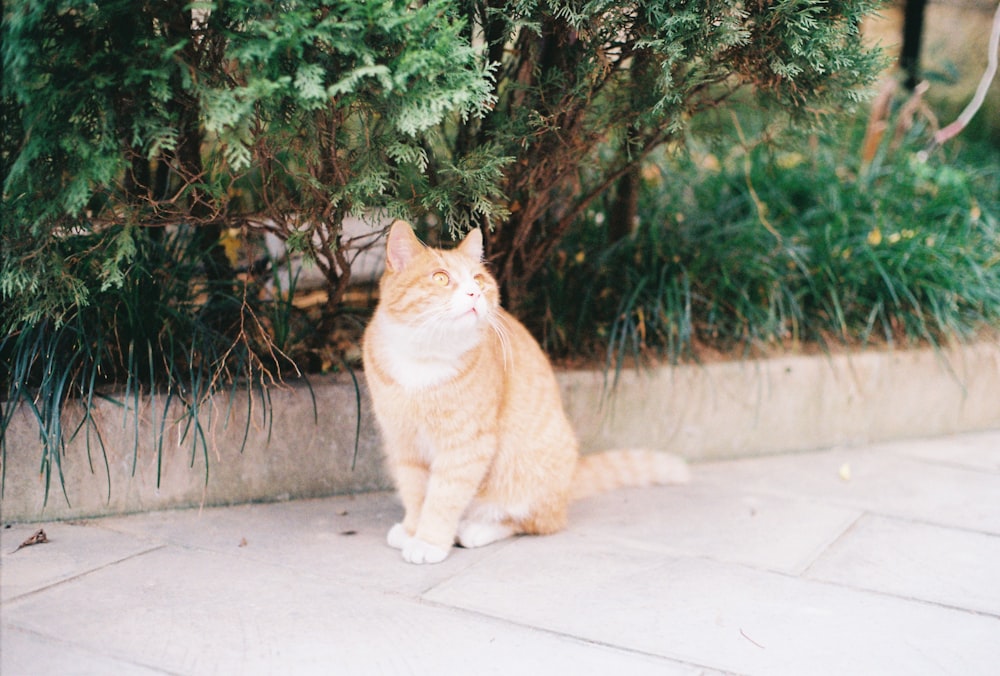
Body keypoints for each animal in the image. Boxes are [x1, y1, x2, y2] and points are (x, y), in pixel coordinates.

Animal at [366, 222, 688, 564]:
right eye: (440, 278)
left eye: (478, 279)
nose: (474, 293)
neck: (423, 356)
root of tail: (569, 480)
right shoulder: (404, 443)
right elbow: (415, 493)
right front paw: (412, 529)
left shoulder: (466, 446)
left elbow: (443, 497)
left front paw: (429, 541)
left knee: (536, 522)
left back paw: (476, 529)